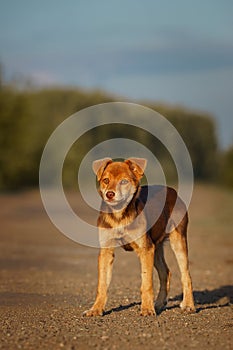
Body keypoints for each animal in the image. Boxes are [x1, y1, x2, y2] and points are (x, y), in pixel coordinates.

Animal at [83, 157, 195, 316]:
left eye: (124, 181)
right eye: (105, 180)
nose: (109, 194)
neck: (119, 216)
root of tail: (172, 191)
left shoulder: (145, 249)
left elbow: (146, 282)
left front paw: (147, 309)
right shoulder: (106, 250)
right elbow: (102, 284)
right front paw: (96, 309)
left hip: (177, 241)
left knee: (186, 275)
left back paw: (188, 305)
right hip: (156, 247)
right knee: (166, 272)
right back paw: (159, 304)